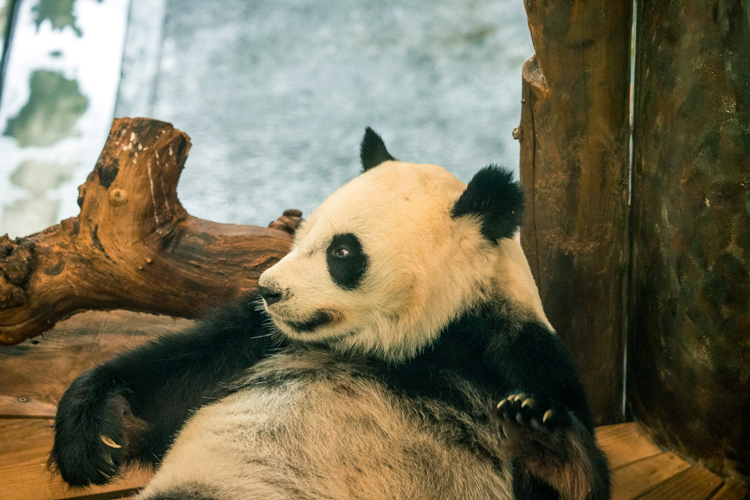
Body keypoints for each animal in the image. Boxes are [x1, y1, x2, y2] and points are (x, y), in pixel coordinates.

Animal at [51, 129, 612, 500]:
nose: (269, 290)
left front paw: (542, 436)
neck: (414, 344)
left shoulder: (515, 352)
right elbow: (173, 377)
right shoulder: (261, 342)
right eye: (303, 230)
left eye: (342, 252)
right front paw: (97, 432)